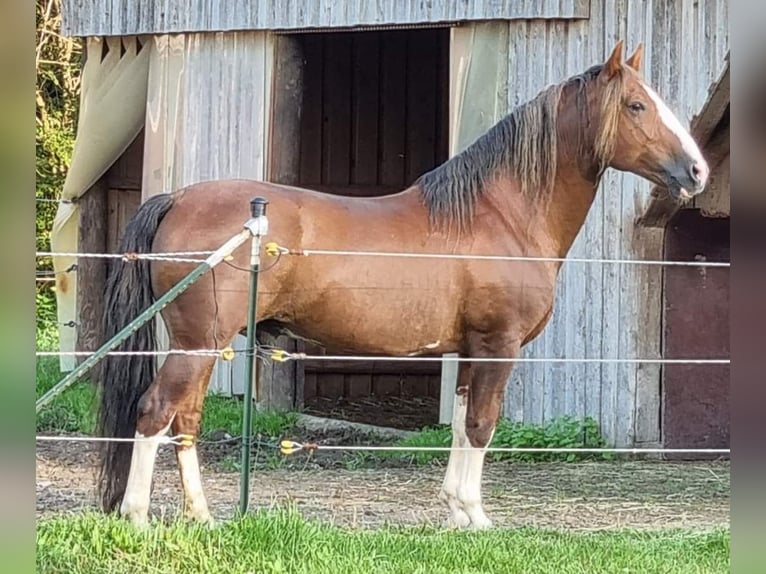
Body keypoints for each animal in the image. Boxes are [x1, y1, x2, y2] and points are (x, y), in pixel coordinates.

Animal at [97, 42, 712, 532]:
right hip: (197, 344)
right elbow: (483, 425)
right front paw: (479, 518)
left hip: (206, 346)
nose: (698, 172)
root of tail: (177, 197)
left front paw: (458, 511)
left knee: (186, 420)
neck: (502, 214)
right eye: (636, 105)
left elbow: (462, 424)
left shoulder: (470, 351)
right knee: (155, 411)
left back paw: (202, 517)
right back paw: (137, 518)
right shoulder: (499, 345)